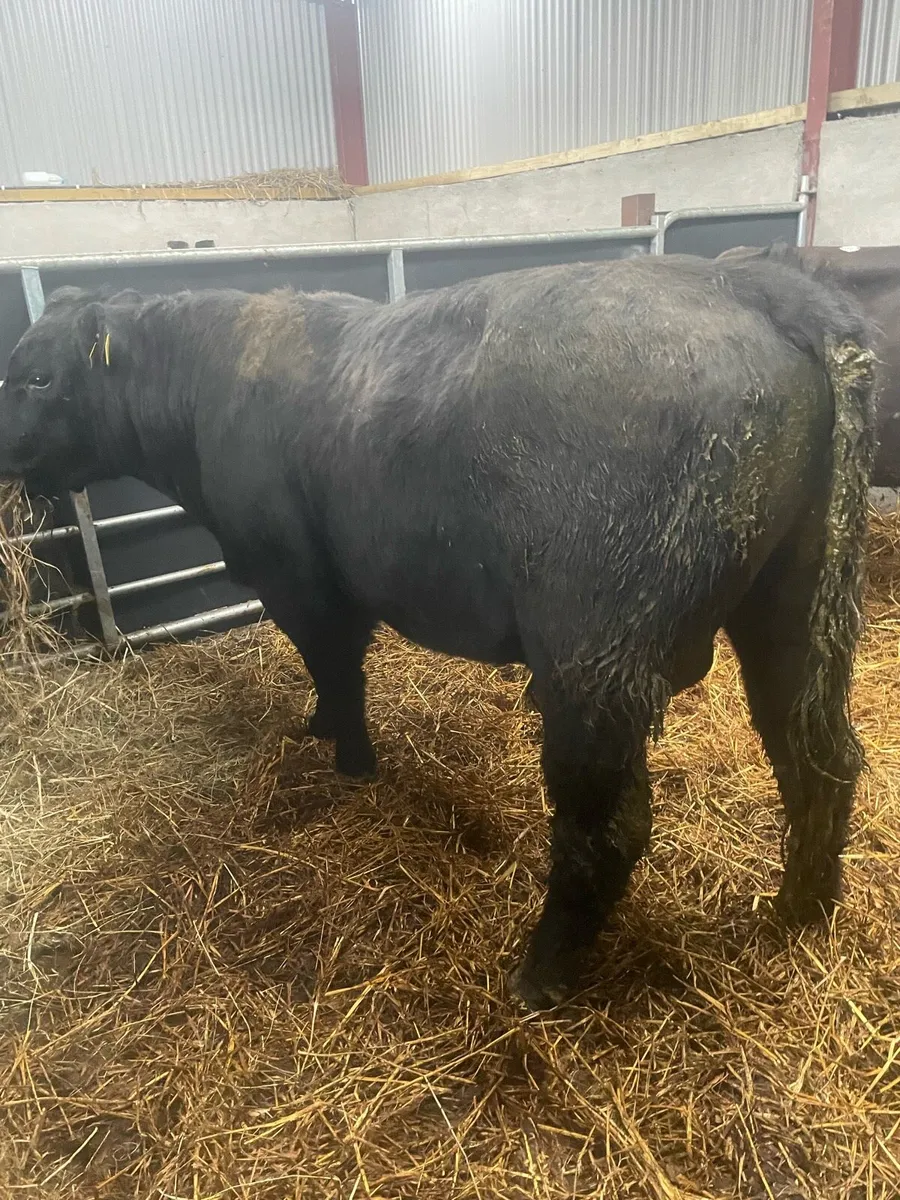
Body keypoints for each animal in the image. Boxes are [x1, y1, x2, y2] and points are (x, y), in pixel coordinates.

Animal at [0, 256, 876, 1009]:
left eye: (39, 376)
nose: (3, 454)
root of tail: (748, 280)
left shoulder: (303, 582)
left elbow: (337, 668)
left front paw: (352, 763)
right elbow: (327, 677)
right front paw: (321, 729)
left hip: (594, 654)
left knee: (608, 826)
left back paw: (541, 974)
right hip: (792, 604)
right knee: (821, 759)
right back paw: (799, 911)